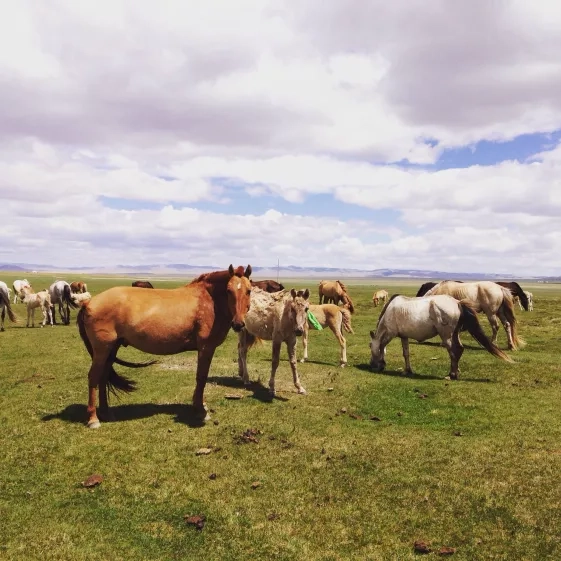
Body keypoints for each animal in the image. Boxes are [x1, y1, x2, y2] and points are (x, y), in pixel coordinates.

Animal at [77, 264, 253, 426]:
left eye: (249, 290)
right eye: (228, 291)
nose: (238, 324)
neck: (209, 301)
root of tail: (88, 302)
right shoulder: (206, 348)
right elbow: (201, 377)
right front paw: (200, 411)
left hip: (111, 349)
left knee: (103, 376)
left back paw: (106, 413)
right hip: (102, 350)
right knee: (94, 377)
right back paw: (93, 419)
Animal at [368, 294, 512, 380]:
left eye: (370, 346)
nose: (371, 364)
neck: (389, 311)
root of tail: (457, 303)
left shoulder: (390, 333)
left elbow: (381, 345)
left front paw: (381, 364)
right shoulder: (404, 336)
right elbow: (406, 353)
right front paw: (407, 370)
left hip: (446, 335)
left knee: (454, 351)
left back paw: (451, 374)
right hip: (455, 334)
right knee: (459, 349)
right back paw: (456, 372)